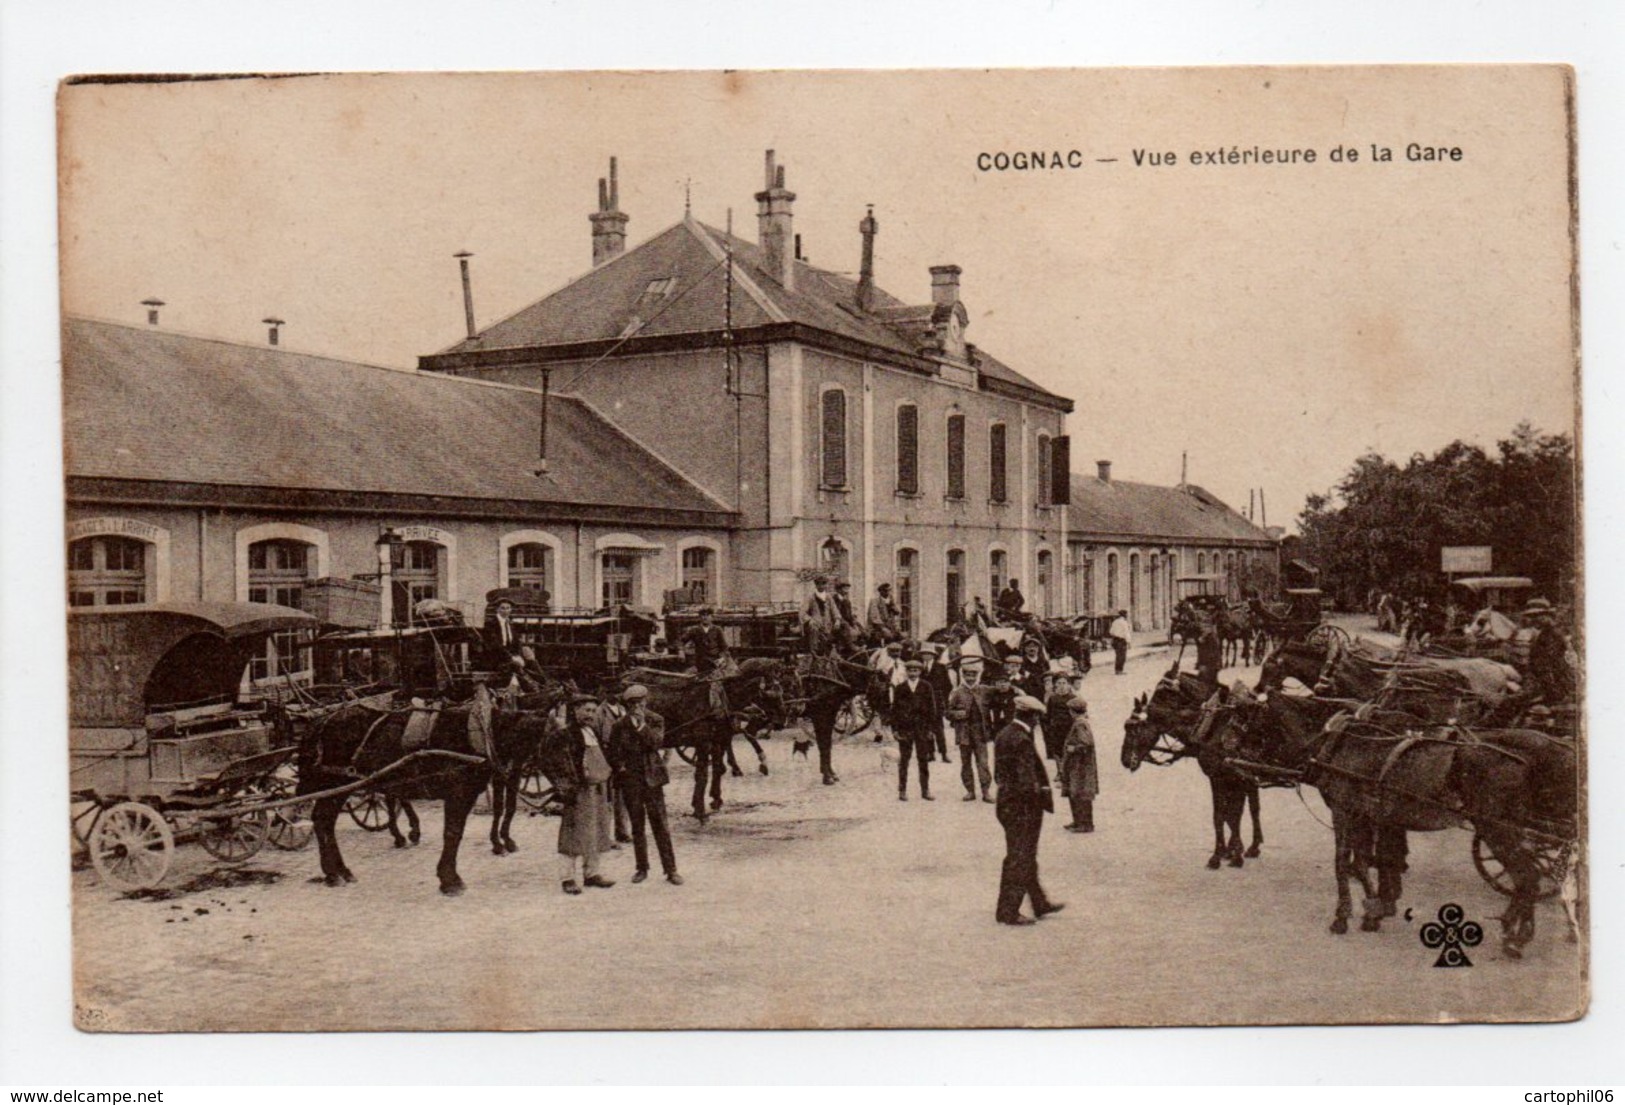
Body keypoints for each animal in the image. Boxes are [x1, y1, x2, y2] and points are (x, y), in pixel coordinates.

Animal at [279, 685, 559, 890]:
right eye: (559, 744)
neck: (483, 732)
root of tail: (322, 719)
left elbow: (498, 809)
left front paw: (500, 843)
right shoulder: (458, 792)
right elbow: (454, 832)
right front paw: (450, 879)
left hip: (341, 785)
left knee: (324, 821)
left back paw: (338, 872)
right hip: (338, 783)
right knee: (323, 820)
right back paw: (336, 871)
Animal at [1118, 666, 1267, 871]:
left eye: (1133, 728)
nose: (1125, 760)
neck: (1216, 724)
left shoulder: (1227, 778)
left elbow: (1228, 815)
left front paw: (1225, 855)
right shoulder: (1227, 778)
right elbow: (1227, 815)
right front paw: (1230, 850)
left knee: (1251, 808)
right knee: (1254, 807)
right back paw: (1253, 845)